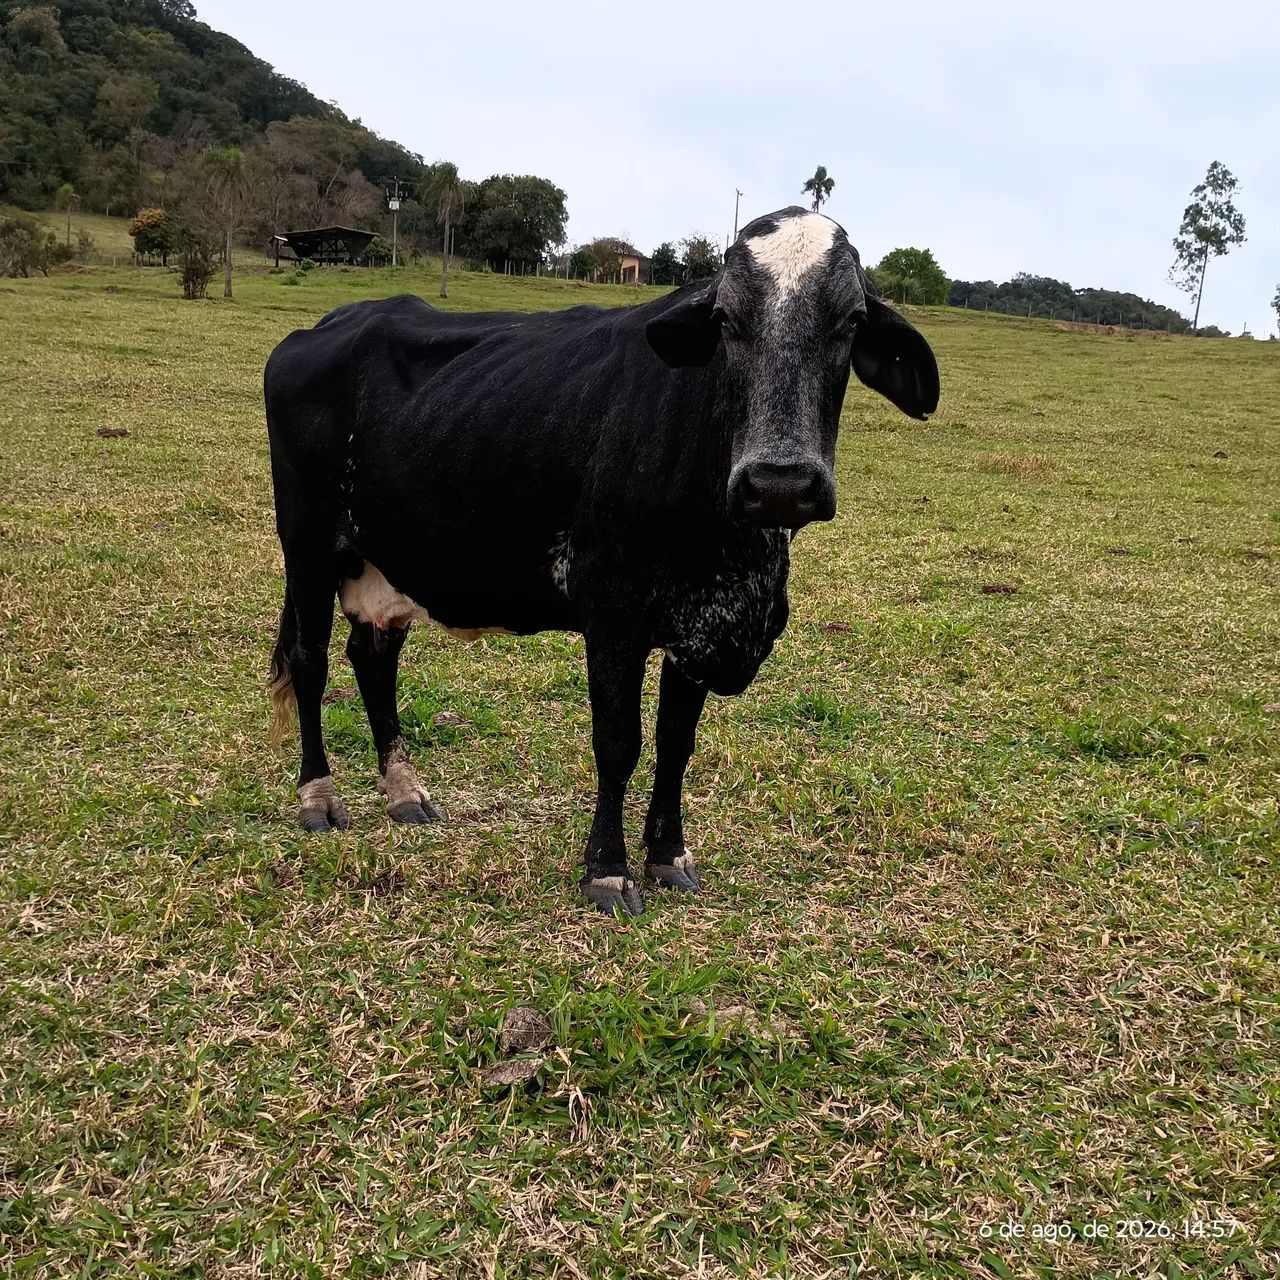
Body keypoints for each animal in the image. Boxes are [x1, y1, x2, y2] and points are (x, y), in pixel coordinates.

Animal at [264, 206, 939, 916]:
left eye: (851, 320)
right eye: (727, 318)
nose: (780, 483)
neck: (736, 555)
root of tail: (327, 325)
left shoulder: (696, 627)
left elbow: (675, 744)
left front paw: (668, 855)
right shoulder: (613, 615)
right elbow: (618, 743)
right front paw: (608, 870)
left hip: (382, 562)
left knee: (373, 657)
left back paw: (403, 792)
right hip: (306, 546)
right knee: (310, 662)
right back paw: (318, 796)